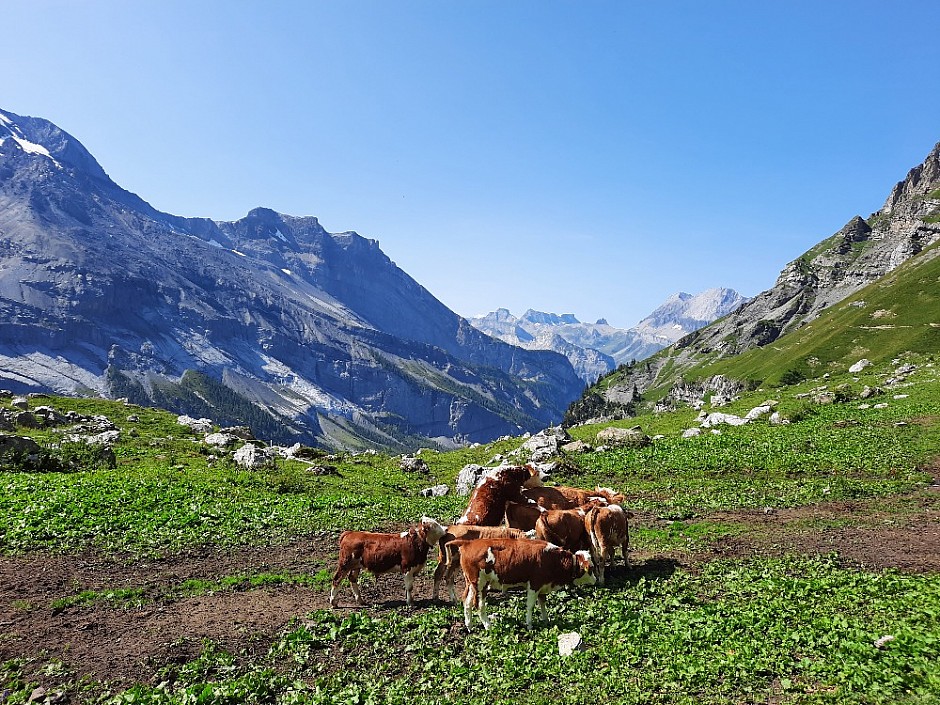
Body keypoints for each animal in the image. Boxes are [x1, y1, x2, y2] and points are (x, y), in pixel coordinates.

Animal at [454, 536, 600, 628]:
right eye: (592, 568)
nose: (595, 580)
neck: (553, 559)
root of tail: (468, 543)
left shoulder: (543, 586)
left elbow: (542, 603)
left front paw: (546, 620)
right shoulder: (534, 585)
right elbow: (530, 606)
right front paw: (529, 624)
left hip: (471, 584)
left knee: (467, 602)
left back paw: (469, 625)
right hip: (481, 584)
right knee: (478, 605)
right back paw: (488, 626)